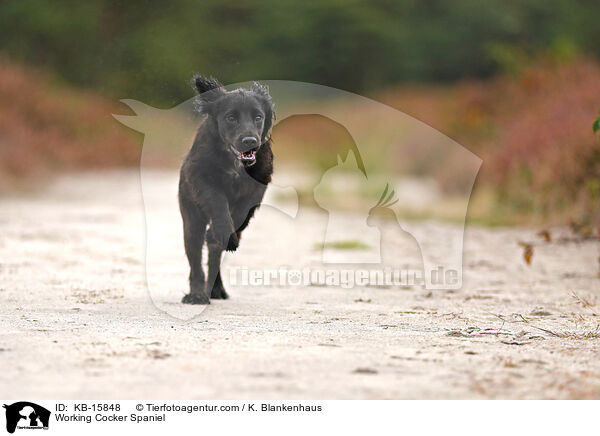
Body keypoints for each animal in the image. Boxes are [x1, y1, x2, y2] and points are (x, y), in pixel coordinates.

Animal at [178, 75, 272, 304]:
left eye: (258, 117)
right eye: (231, 118)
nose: (250, 141)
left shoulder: (258, 185)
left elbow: (239, 212)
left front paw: (222, 234)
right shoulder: (200, 177)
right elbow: (218, 202)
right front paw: (221, 230)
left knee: (214, 254)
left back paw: (216, 289)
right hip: (191, 220)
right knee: (195, 258)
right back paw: (197, 294)